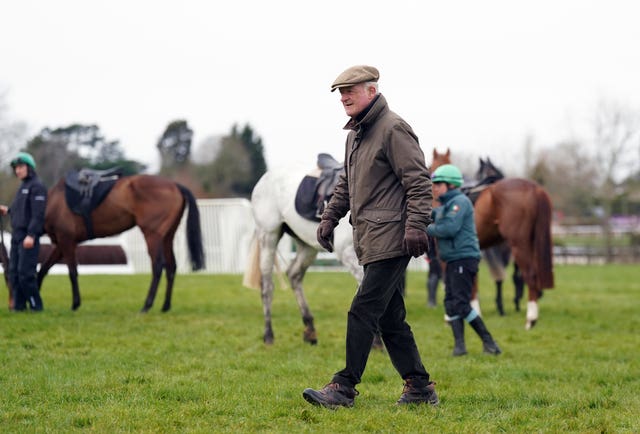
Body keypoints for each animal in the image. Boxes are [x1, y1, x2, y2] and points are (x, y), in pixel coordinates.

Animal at [37, 173, 205, 312]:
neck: (53, 202)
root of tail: (175, 185)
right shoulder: (62, 244)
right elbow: (44, 268)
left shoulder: (66, 240)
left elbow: (72, 272)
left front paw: (75, 304)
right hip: (167, 238)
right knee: (171, 267)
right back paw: (165, 306)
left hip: (153, 236)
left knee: (158, 266)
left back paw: (147, 305)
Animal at [245, 159, 362, 346]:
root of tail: (264, 179)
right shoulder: (347, 252)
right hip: (268, 237)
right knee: (267, 286)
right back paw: (269, 335)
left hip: (307, 245)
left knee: (294, 275)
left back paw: (310, 329)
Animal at [430, 149, 556, 328]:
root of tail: (534, 188)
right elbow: (473, 282)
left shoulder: (447, 256)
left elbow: (451, 282)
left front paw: (450, 317)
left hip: (519, 246)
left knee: (530, 275)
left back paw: (530, 318)